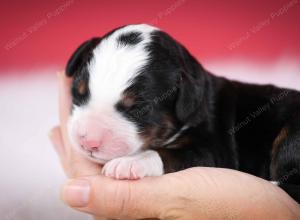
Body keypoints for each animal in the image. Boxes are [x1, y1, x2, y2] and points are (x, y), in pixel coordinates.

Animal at [65, 24, 300, 203]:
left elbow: (168, 153)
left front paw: (130, 163)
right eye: (78, 94)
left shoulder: (212, 150)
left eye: (138, 108)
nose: (87, 142)